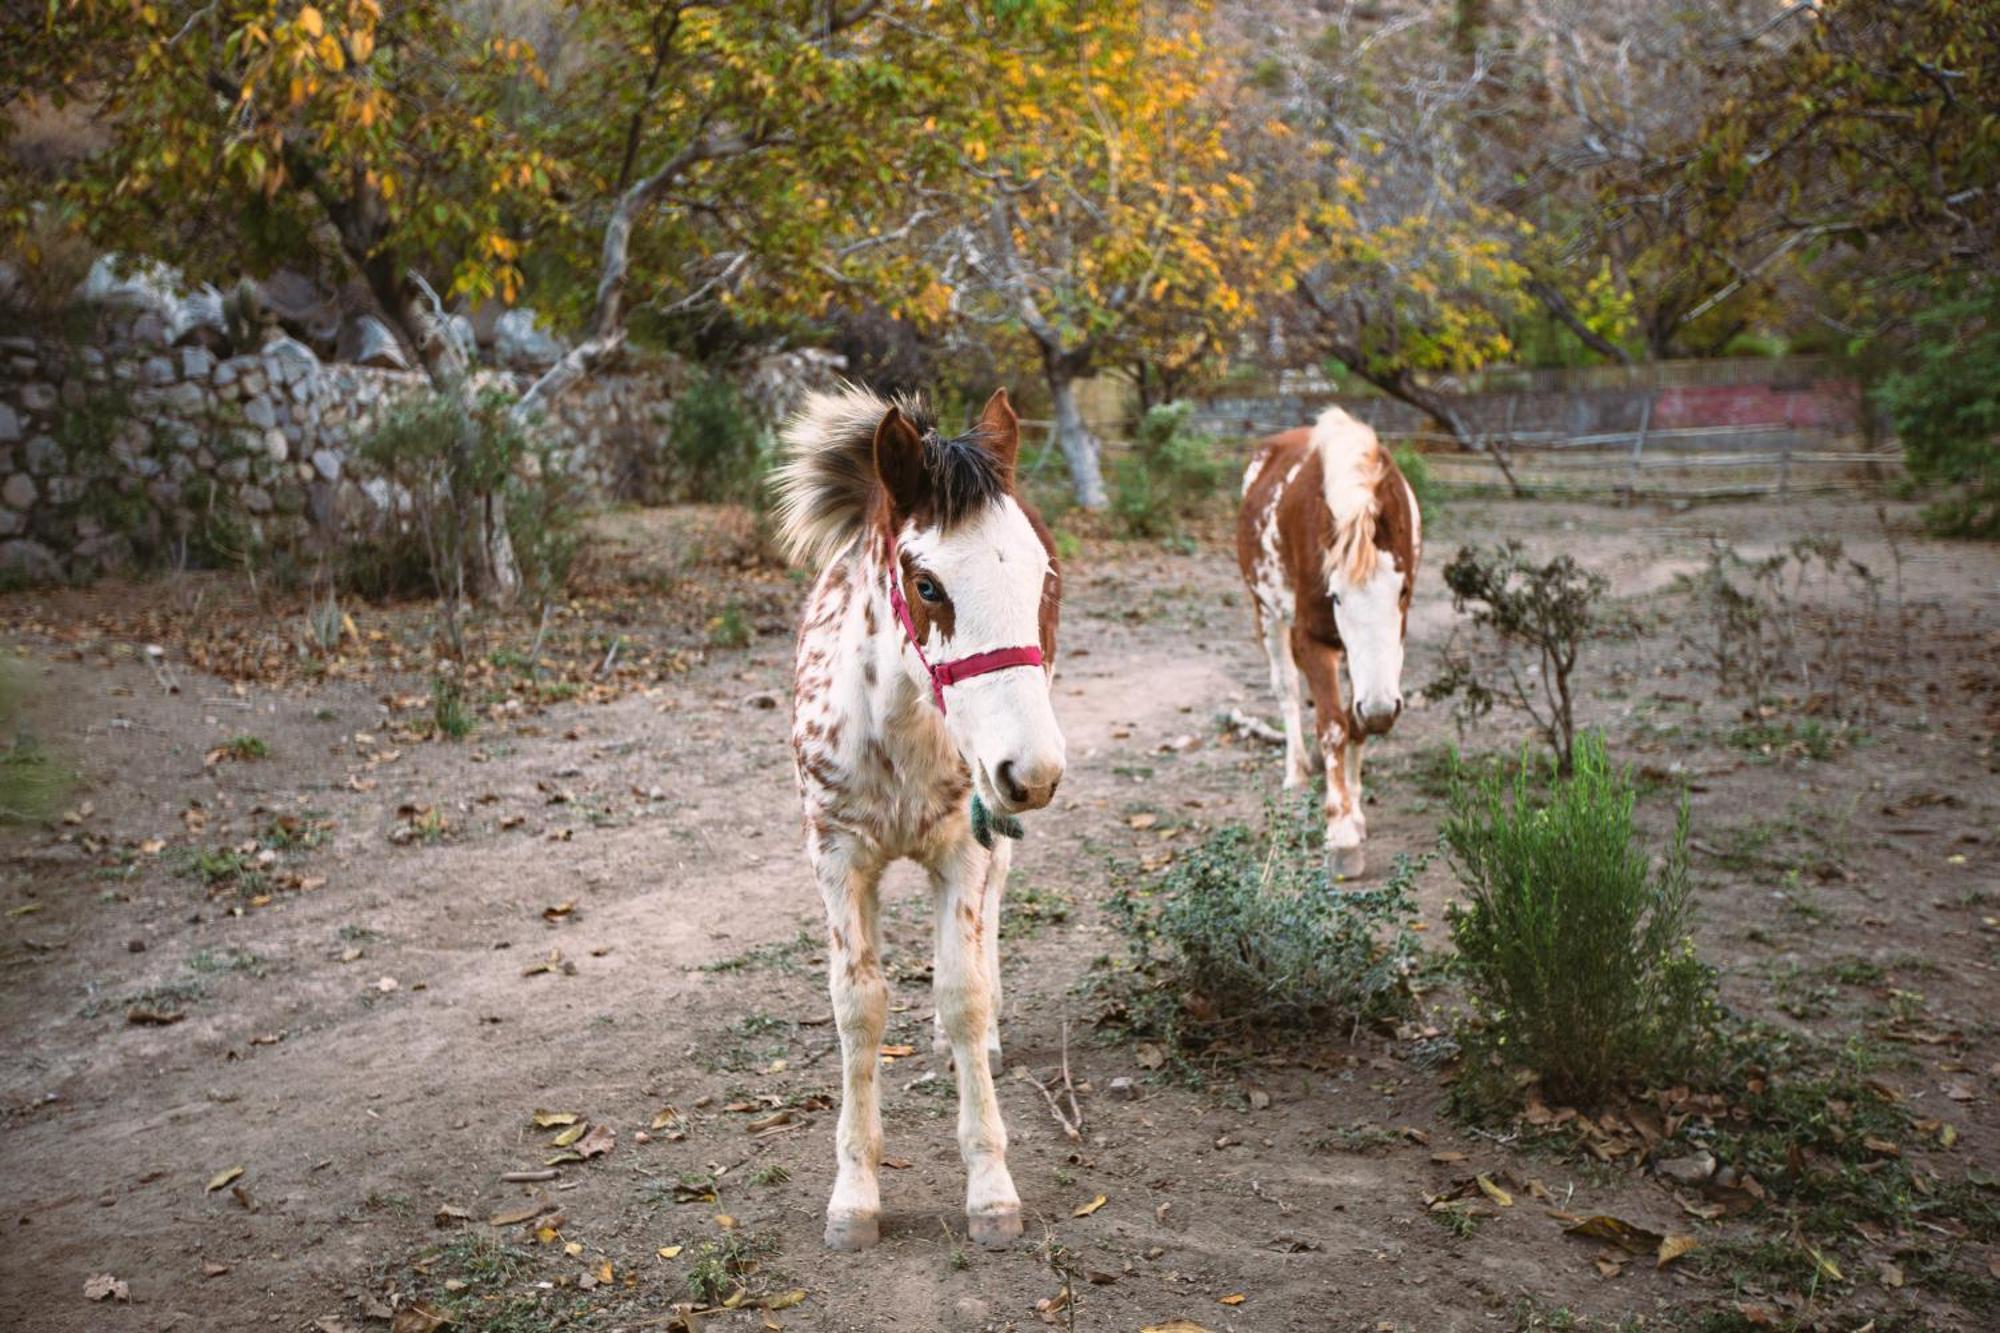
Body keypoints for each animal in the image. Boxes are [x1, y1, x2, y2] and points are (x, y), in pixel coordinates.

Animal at [772, 382, 1072, 1248]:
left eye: (1042, 576)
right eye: (929, 585)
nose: (1034, 772)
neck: (896, 731)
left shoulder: (963, 850)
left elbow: (961, 995)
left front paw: (991, 1188)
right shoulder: (836, 858)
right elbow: (859, 1006)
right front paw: (855, 1194)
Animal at [1232, 404, 1424, 880]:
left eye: (1403, 592)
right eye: (1335, 595)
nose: (1382, 710)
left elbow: (1355, 722)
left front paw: (1354, 808)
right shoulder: (1312, 639)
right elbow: (1333, 725)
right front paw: (1341, 833)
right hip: (1266, 612)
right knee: (1286, 689)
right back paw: (1297, 774)